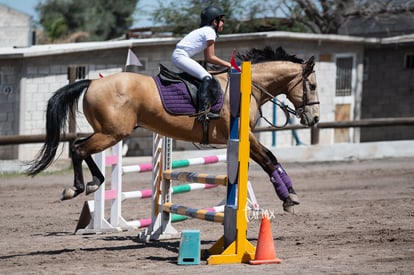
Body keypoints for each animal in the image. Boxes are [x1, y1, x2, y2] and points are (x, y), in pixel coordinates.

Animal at [27, 46, 322, 212]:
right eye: (313, 86)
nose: (315, 118)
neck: (248, 87)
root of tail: (91, 82)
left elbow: (269, 159)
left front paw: (289, 195)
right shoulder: (244, 135)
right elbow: (269, 159)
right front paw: (289, 197)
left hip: (107, 132)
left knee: (79, 147)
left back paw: (92, 182)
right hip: (112, 133)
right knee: (78, 149)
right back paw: (77, 188)